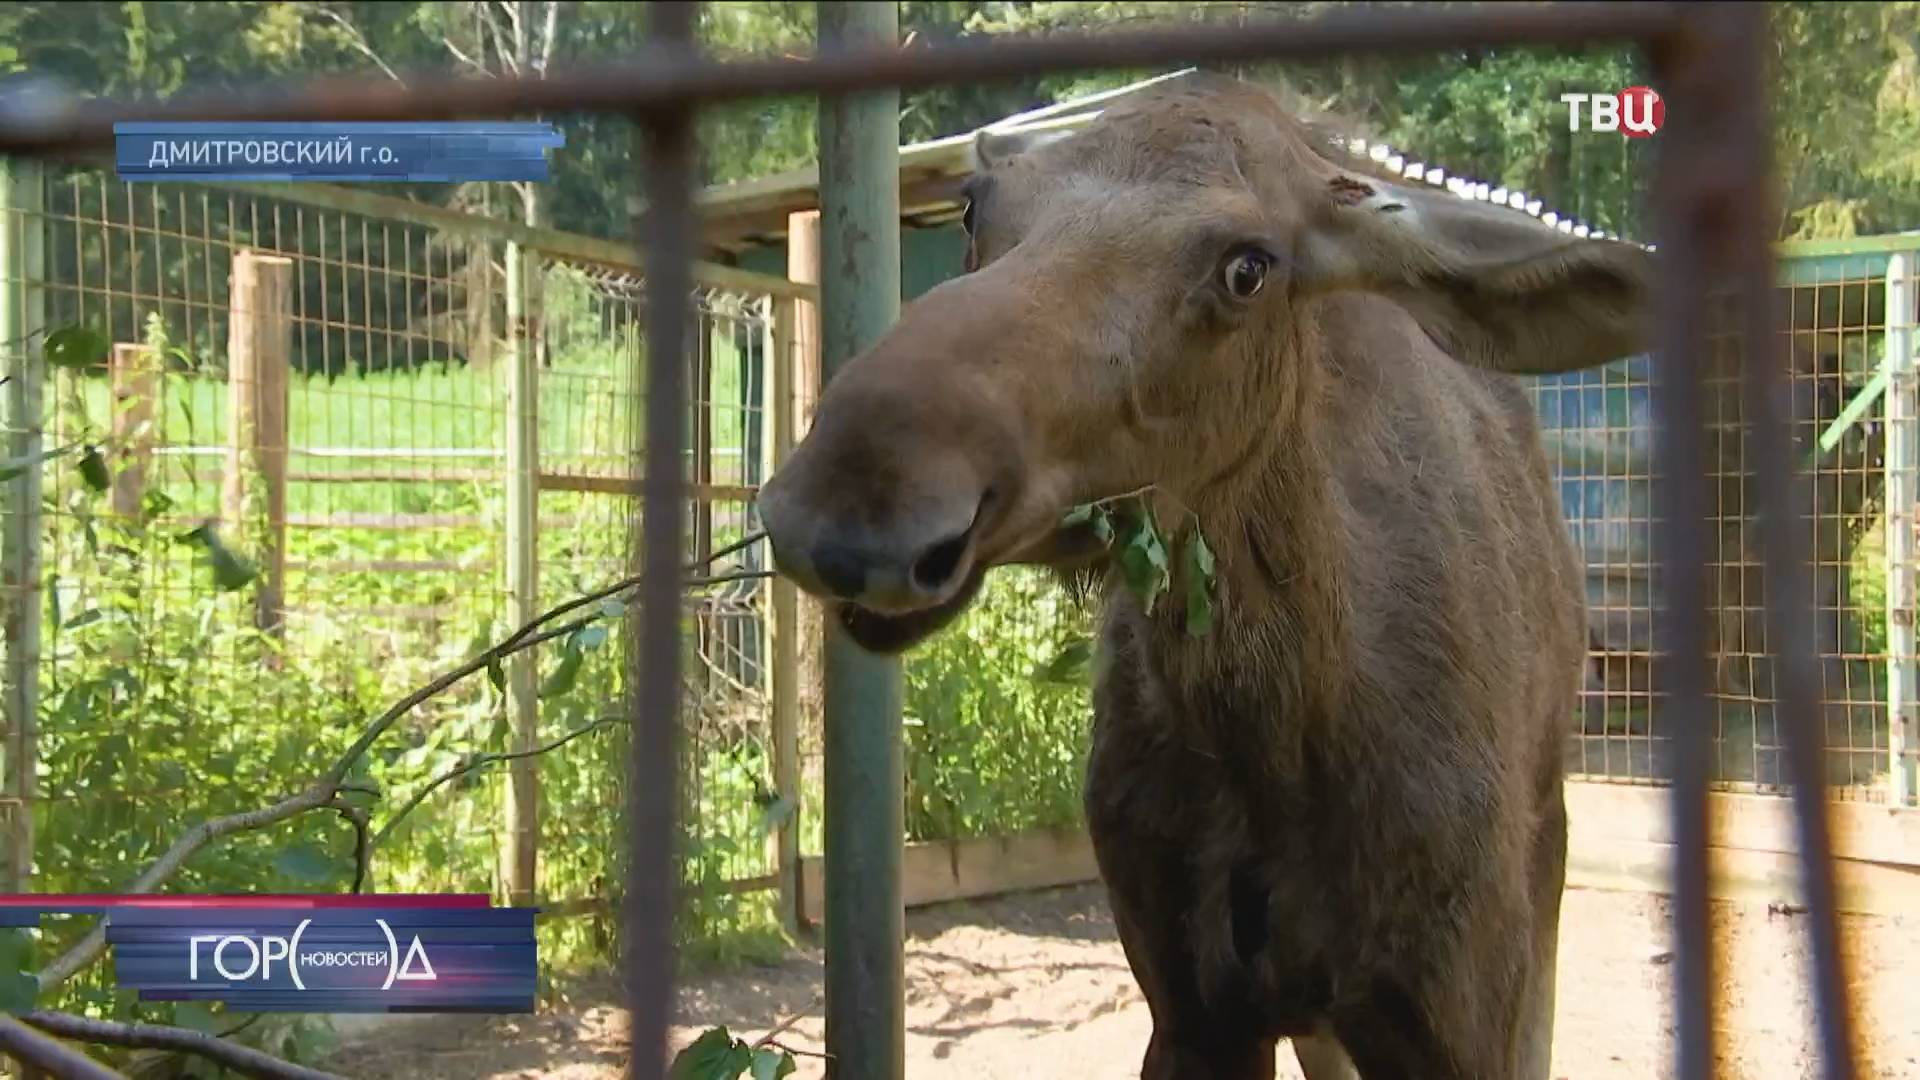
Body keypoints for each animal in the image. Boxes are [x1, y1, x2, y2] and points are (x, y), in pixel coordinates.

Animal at [756, 77, 1658, 1076]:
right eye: (974, 206)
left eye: (1248, 268)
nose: (852, 499)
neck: (1281, 744)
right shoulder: (1191, 1006)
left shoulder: (1455, 1009)